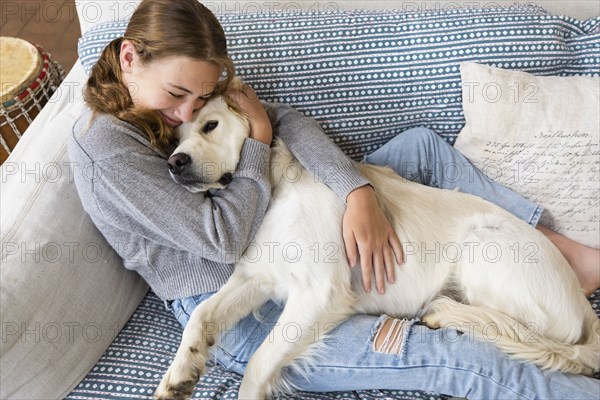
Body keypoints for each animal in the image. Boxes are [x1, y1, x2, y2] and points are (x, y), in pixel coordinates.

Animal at [156, 83, 600, 396]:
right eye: (173, 139)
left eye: (210, 125)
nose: (174, 163)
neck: (274, 187)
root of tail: (583, 306)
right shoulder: (258, 276)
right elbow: (201, 315)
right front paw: (180, 372)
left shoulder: (319, 292)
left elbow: (258, 365)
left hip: (483, 249)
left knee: (522, 332)